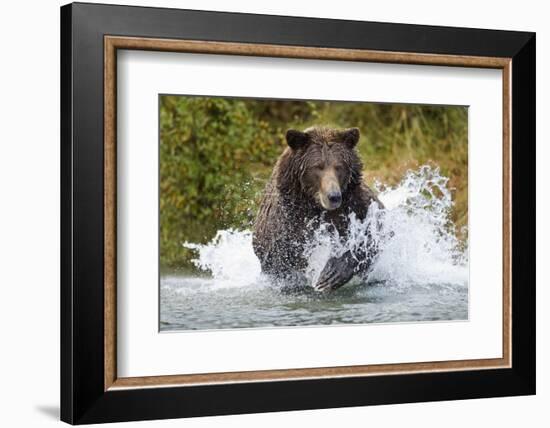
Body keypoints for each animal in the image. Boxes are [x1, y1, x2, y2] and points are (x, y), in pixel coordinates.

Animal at [253, 124, 384, 290]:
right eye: (317, 166)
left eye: (339, 166)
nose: (334, 196)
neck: (316, 205)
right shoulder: (287, 223)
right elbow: (287, 257)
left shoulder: (357, 205)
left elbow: (375, 233)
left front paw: (332, 273)